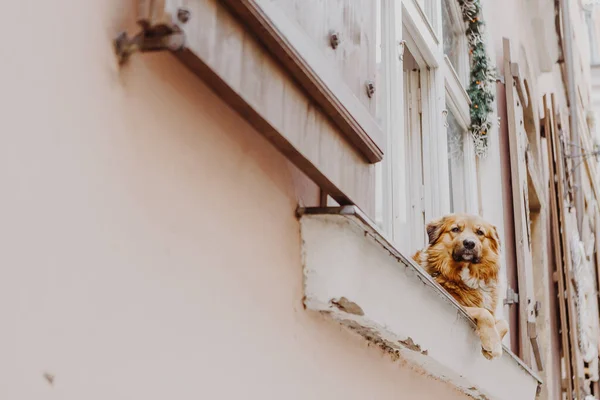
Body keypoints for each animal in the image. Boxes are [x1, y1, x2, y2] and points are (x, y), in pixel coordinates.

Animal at [414, 214, 508, 358]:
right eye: (455, 229)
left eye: (480, 232)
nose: (469, 243)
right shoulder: (459, 305)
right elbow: (485, 313)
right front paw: (493, 342)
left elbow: (504, 322)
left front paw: (493, 340)